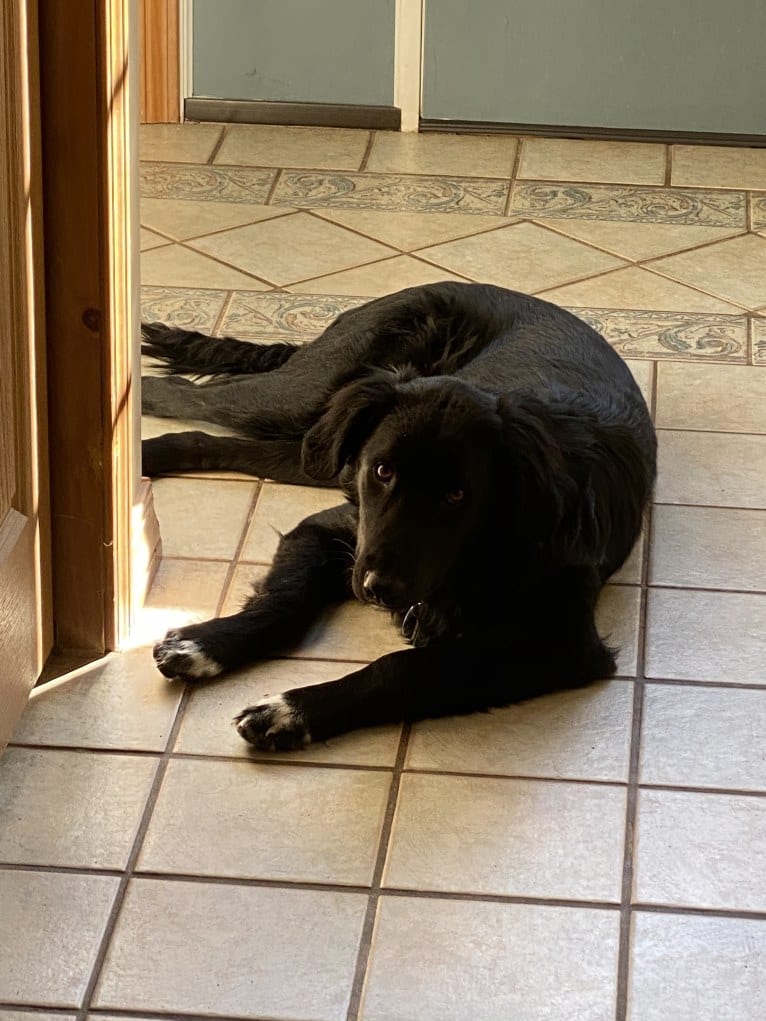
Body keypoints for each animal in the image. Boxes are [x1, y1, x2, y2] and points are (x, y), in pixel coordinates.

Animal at [140, 283, 657, 755]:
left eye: (457, 494)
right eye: (383, 471)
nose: (377, 589)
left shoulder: (559, 642)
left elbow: (398, 668)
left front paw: (291, 711)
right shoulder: (332, 530)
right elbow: (284, 604)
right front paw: (206, 644)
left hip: (313, 447)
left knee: (217, 433)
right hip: (306, 402)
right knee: (188, 394)